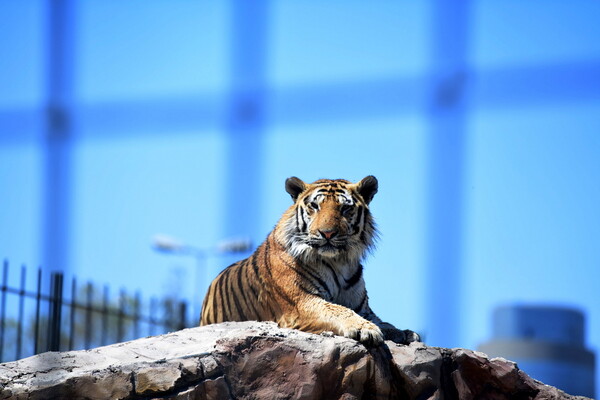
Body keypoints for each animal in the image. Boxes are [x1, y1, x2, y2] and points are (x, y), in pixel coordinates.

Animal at [199, 177, 420, 346]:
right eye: (315, 206)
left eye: (345, 208)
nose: (327, 233)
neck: (339, 262)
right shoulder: (302, 302)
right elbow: (337, 309)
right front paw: (365, 329)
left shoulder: (362, 308)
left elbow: (384, 322)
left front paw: (405, 332)